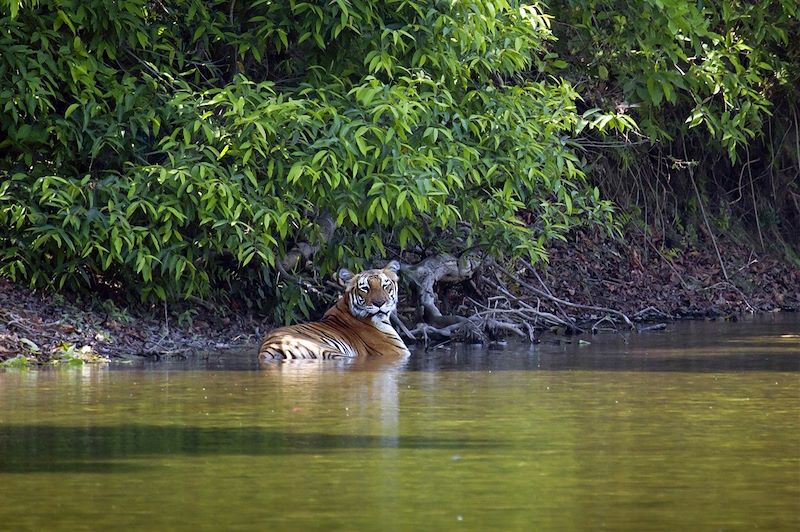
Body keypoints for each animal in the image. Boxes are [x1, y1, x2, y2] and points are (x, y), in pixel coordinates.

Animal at [260, 260, 412, 360]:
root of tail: (270, 348)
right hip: (331, 352)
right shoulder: (397, 352)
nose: (379, 303)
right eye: (365, 288)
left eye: (385, 285)